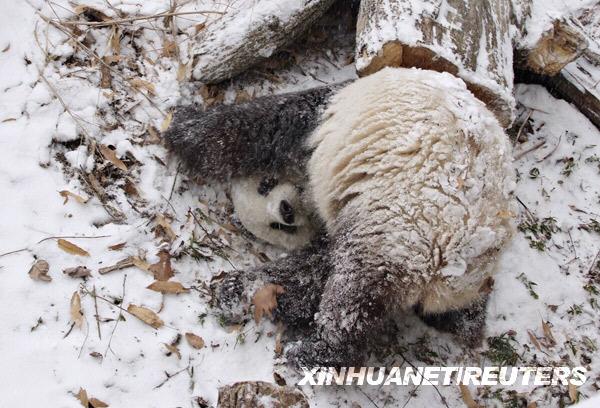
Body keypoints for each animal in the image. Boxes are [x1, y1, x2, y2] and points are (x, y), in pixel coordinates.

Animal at [164, 67, 516, 366]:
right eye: (277, 226)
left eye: (267, 185)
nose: (286, 210)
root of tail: (456, 260)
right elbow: (309, 269)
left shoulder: (317, 120)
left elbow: (258, 125)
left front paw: (182, 123)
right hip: (456, 262)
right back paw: (464, 321)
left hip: (402, 228)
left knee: (353, 291)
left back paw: (317, 351)